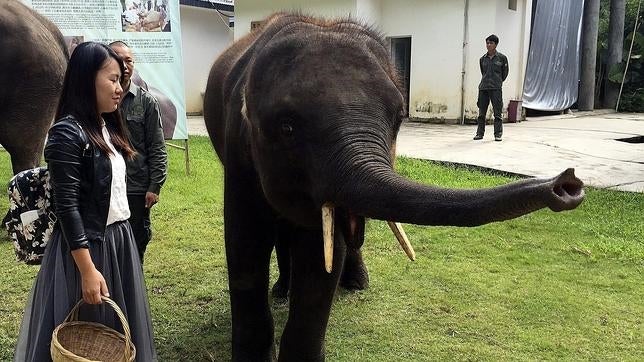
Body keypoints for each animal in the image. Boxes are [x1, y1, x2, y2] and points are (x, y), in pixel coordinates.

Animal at [205, 12, 584, 360]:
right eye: (287, 127)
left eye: (399, 117)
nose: (568, 184)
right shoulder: (238, 154)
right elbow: (244, 243)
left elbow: (322, 257)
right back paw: (282, 291)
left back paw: (354, 284)